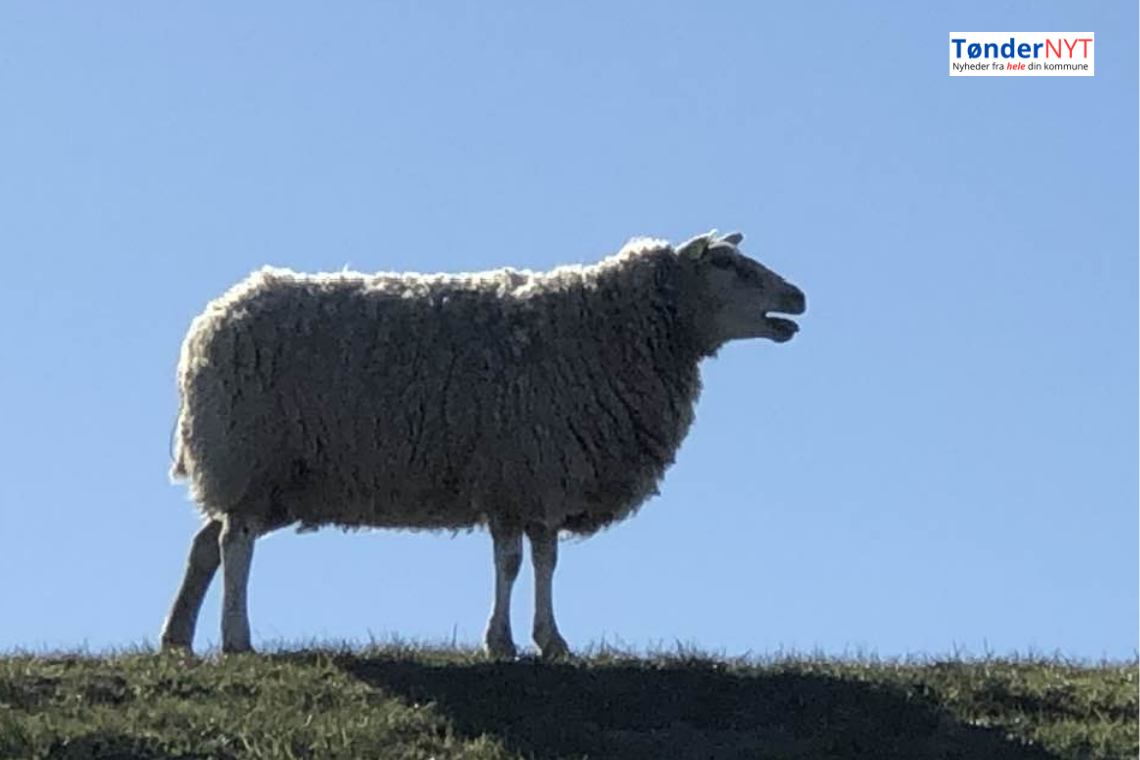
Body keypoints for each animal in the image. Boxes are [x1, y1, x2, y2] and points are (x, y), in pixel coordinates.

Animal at [160, 229, 807, 656]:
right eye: (727, 264)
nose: (797, 297)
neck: (610, 327)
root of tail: (211, 321)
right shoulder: (518, 468)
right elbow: (513, 562)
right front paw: (502, 642)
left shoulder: (543, 477)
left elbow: (543, 559)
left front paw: (549, 641)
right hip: (247, 455)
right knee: (236, 544)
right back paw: (237, 640)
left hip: (267, 476)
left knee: (208, 543)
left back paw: (179, 639)